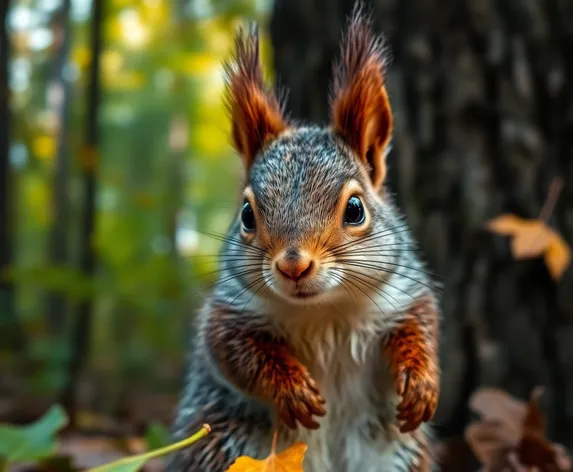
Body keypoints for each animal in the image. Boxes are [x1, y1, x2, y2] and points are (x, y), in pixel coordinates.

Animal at [165, 4, 438, 472]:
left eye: (355, 209)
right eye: (246, 215)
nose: (294, 265)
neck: (324, 311)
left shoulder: (404, 293)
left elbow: (422, 328)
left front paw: (421, 384)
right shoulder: (231, 309)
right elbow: (234, 350)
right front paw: (291, 390)